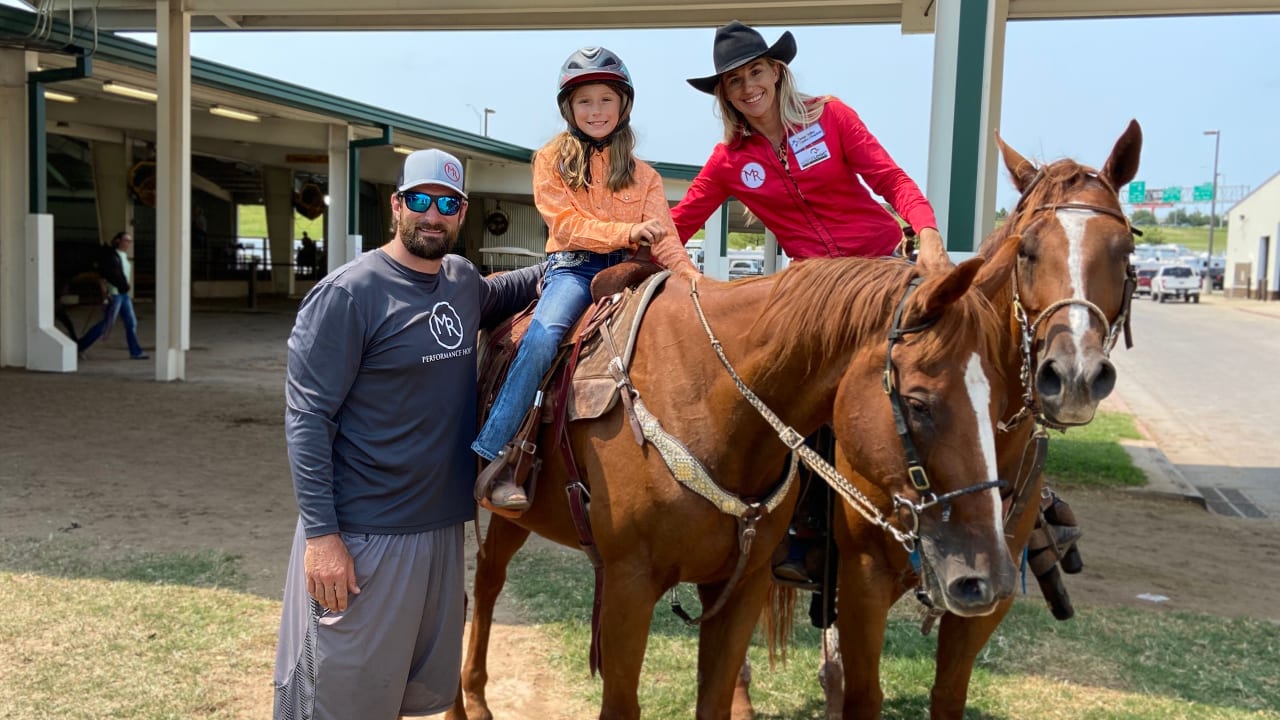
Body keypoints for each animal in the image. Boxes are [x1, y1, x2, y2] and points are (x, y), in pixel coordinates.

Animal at [450, 244, 1018, 712]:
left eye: (999, 405)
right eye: (919, 404)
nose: (989, 580)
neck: (710, 399)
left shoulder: (741, 586)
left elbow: (715, 699)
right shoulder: (629, 586)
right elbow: (621, 704)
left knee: (485, 579)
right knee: (472, 592)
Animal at [783, 119, 1146, 717]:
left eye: (1123, 250)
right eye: (1027, 250)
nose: (1074, 373)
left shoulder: (987, 594)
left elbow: (948, 693)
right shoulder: (863, 581)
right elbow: (864, 693)